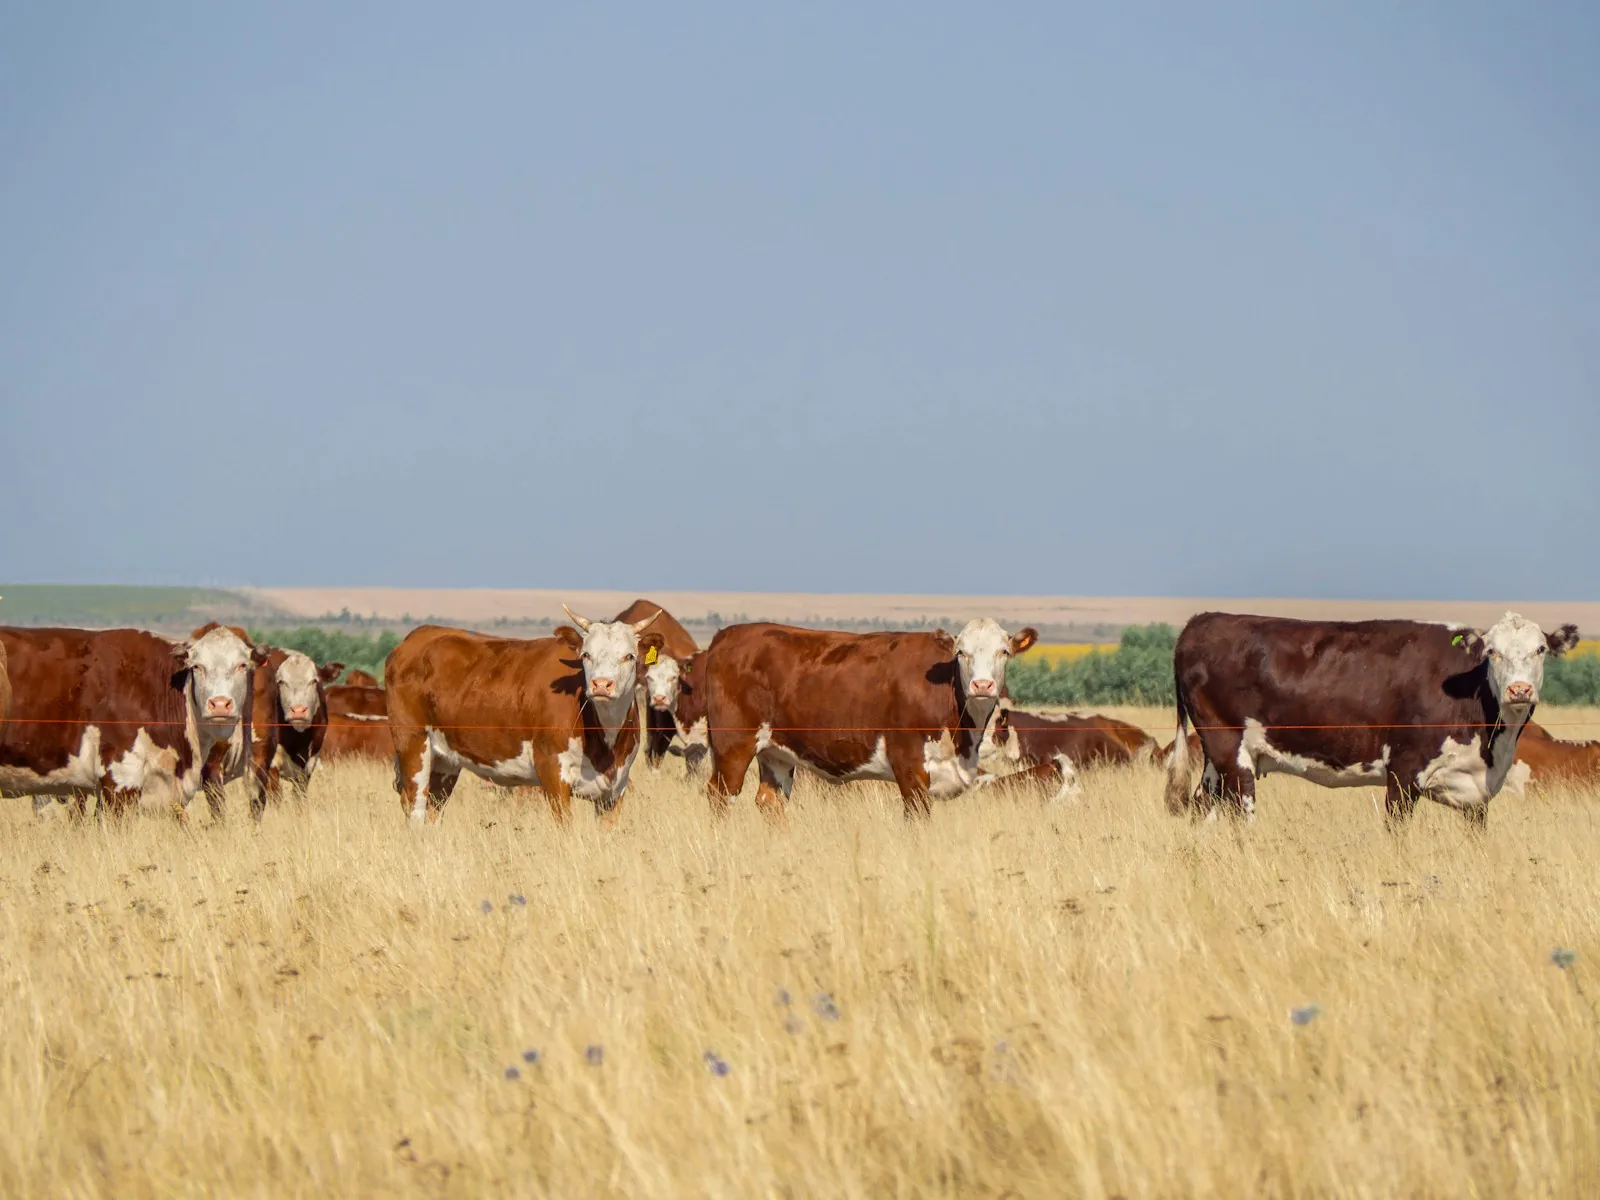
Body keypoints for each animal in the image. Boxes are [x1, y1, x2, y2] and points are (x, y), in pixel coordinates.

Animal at [384, 605, 664, 824]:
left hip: (444, 761)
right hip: (412, 744)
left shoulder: (615, 790)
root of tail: (419, 635)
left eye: (629, 656)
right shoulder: (553, 774)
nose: (601, 684)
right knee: (416, 808)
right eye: (586, 655)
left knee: (434, 809)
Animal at [702, 619, 1038, 819]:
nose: (982, 685)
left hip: (776, 753)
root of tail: (728, 634)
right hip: (732, 746)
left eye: (1004, 652)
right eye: (961, 653)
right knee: (720, 798)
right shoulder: (910, 767)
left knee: (769, 802)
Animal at [1164, 611, 1581, 829]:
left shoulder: (1476, 794)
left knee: (1204, 807)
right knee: (1241, 815)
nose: (1519, 690)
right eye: (1492, 652)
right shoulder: (1404, 772)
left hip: (1216, 763)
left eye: (1540, 649)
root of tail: (1202, 620)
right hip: (1230, 750)